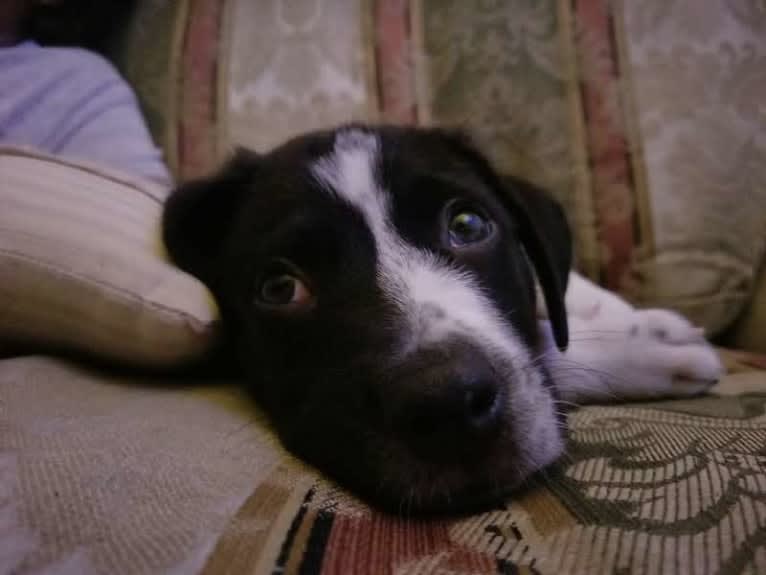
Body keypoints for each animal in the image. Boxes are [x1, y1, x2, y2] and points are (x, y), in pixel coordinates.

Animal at [164, 125, 728, 512]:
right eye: (280, 288)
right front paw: (644, 346)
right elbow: (550, 351)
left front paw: (630, 325)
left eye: (468, 224)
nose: (449, 401)